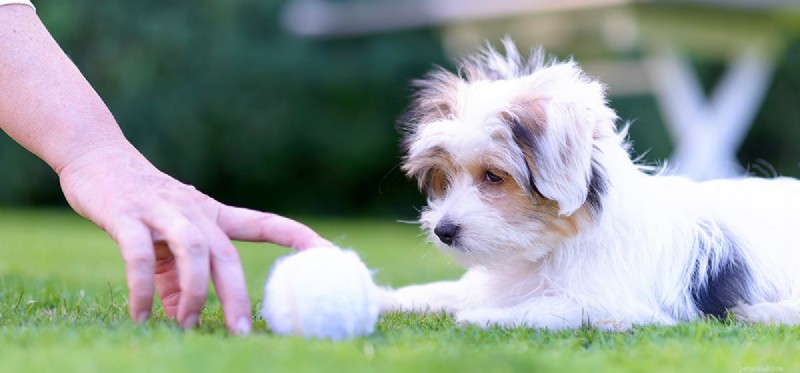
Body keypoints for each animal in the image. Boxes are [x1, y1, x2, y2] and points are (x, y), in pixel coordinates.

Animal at [378, 39, 800, 330]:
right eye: (445, 178)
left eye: (494, 176)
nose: (443, 230)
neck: (556, 244)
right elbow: (445, 290)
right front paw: (386, 297)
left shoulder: (610, 302)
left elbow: (548, 308)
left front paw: (482, 316)